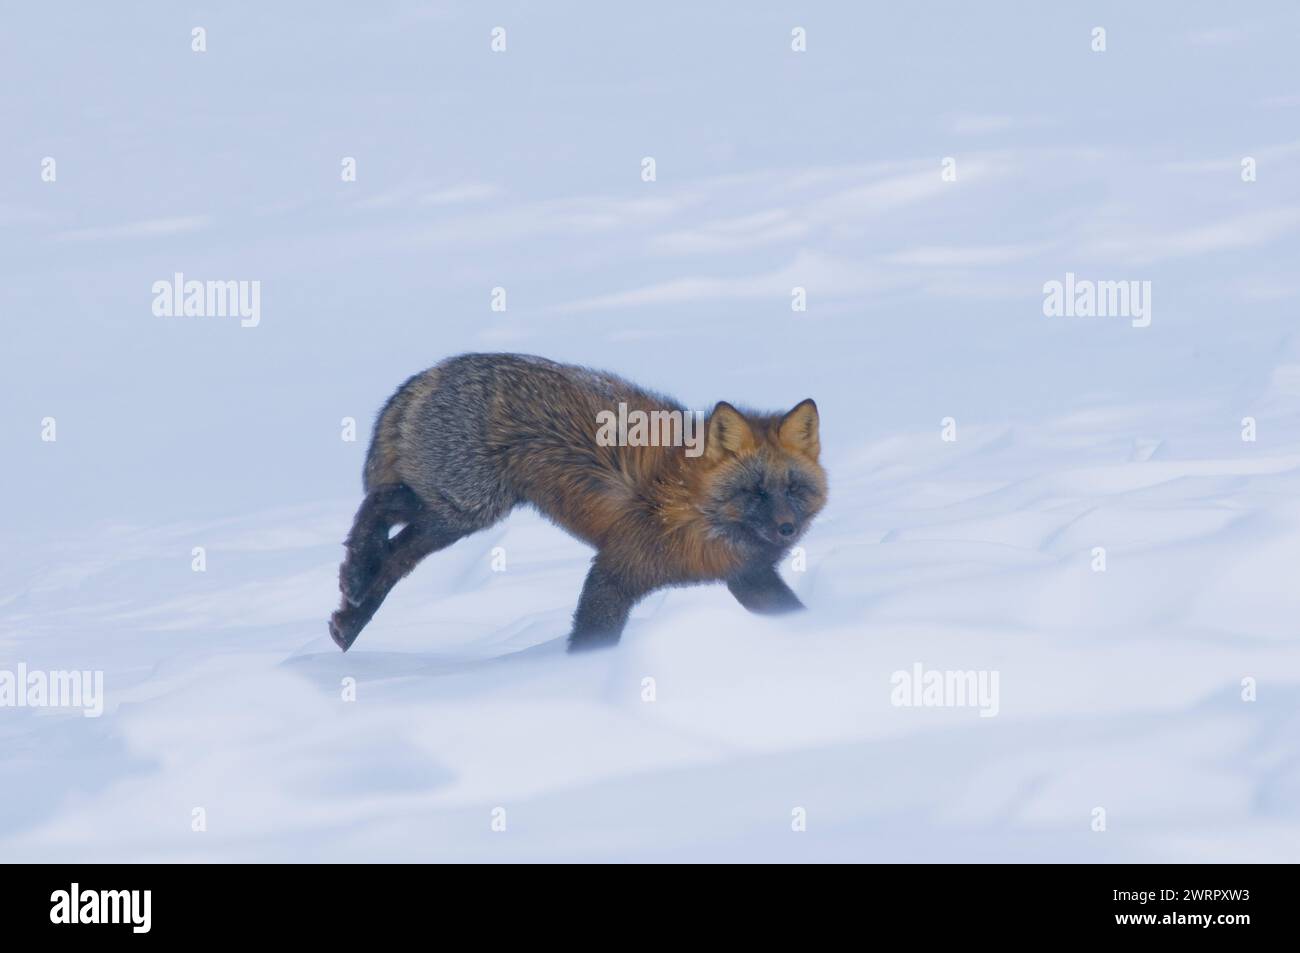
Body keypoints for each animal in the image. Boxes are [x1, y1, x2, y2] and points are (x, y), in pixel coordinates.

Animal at [330, 353, 826, 650]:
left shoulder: (748, 578)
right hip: (466, 506)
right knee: (380, 504)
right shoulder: (614, 570)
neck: (695, 510)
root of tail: (439, 368)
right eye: (754, 492)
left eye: (793, 490)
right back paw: (355, 580)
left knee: (395, 555)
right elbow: (592, 638)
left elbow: (792, 613)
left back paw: (350, 615)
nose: (787, 528)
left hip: (455, 514)